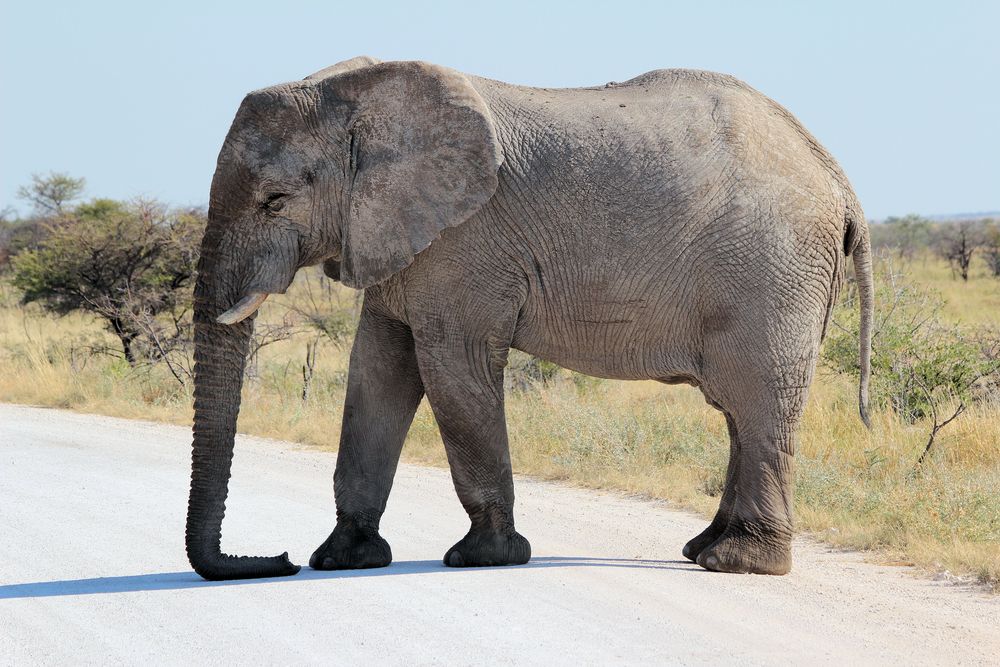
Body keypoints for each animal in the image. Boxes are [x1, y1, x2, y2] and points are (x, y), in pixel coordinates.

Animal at [186, 56, 868, 580]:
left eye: (276, 201)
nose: (275, 560)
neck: (359, 95)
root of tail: (837, 177)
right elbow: (377, 371)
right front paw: (341, 559)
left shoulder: (464, 242)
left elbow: (452, 369)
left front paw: (484, 557)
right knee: (739, 413)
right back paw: (704, 549)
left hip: (772, 271)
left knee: (757, 401)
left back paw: (737, 563)